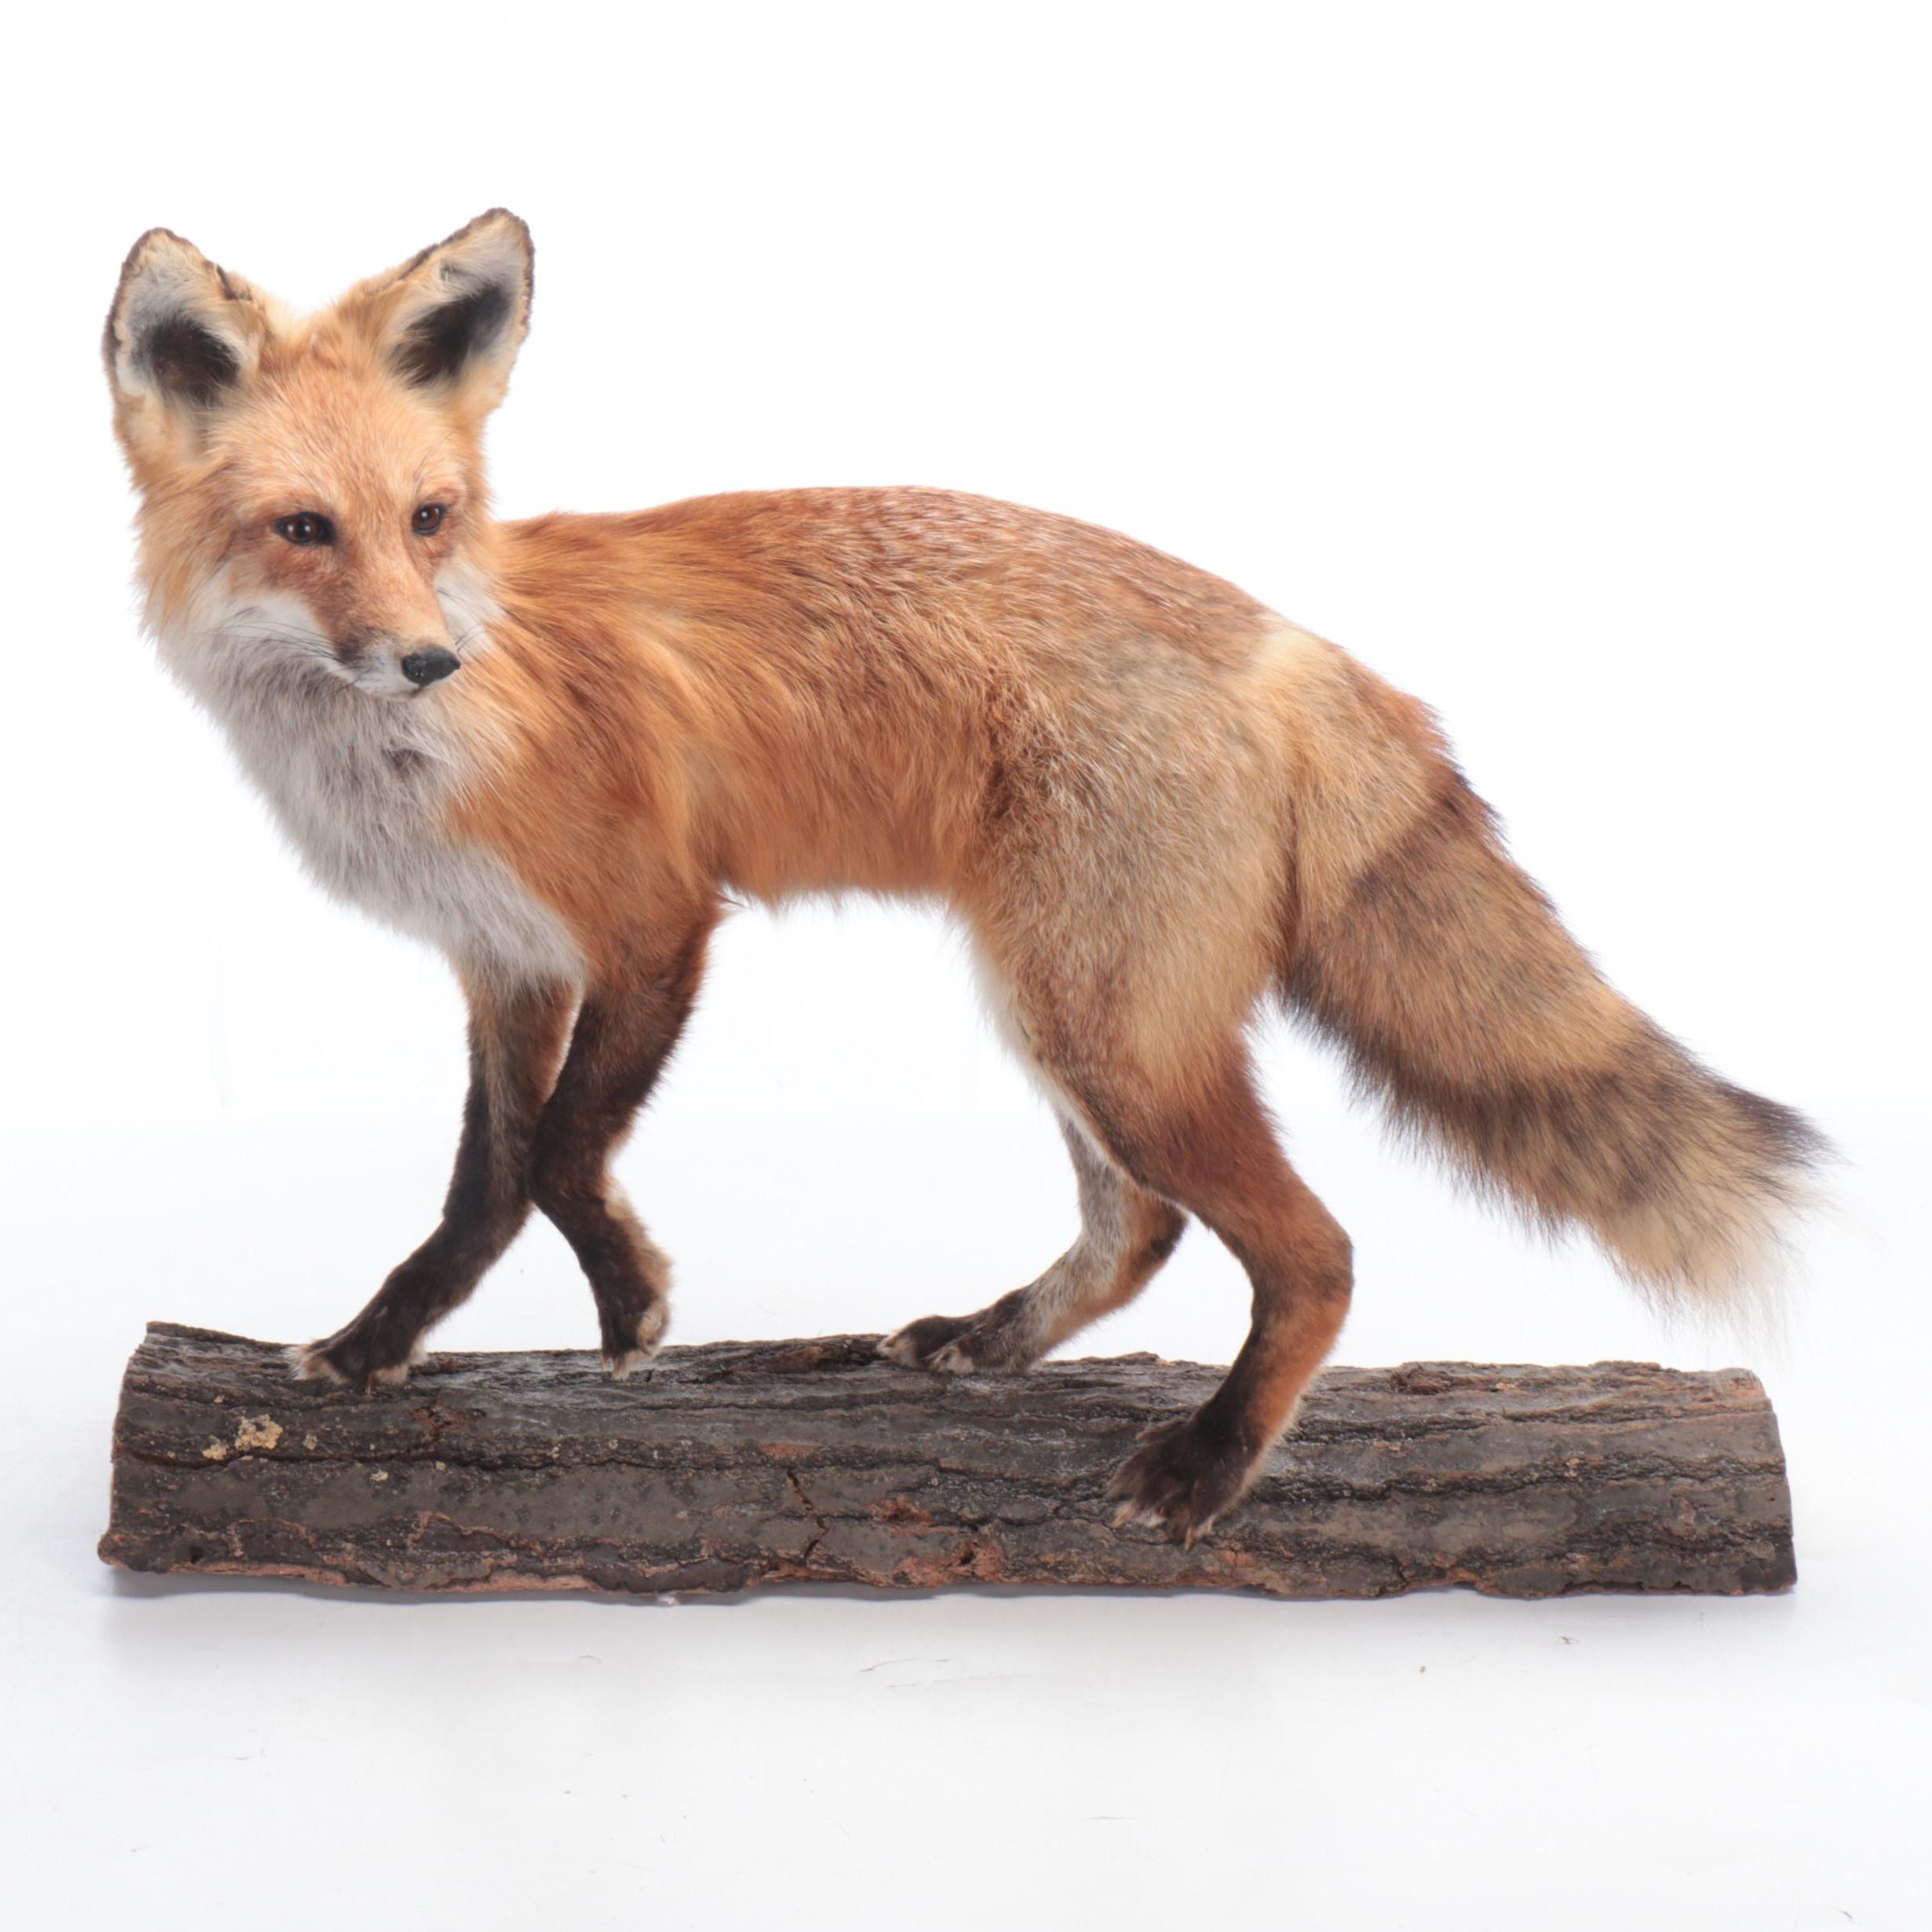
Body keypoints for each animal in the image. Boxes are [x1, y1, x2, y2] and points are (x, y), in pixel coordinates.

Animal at [104, 209, 1824, 1541]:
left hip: (1099, 1022)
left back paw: (1208, 1463)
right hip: (1067, 1012)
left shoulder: (653, 922)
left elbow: (563, 1157)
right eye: (304, 529)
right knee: (1141, 1230)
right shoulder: (505, 963)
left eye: (429, 516)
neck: (425, 751)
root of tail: (1307, 651)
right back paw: (995, 1341)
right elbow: (485, 1183)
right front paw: (374, 1342)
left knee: (1310, 1251)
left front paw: (632, 1305)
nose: (424, 656)